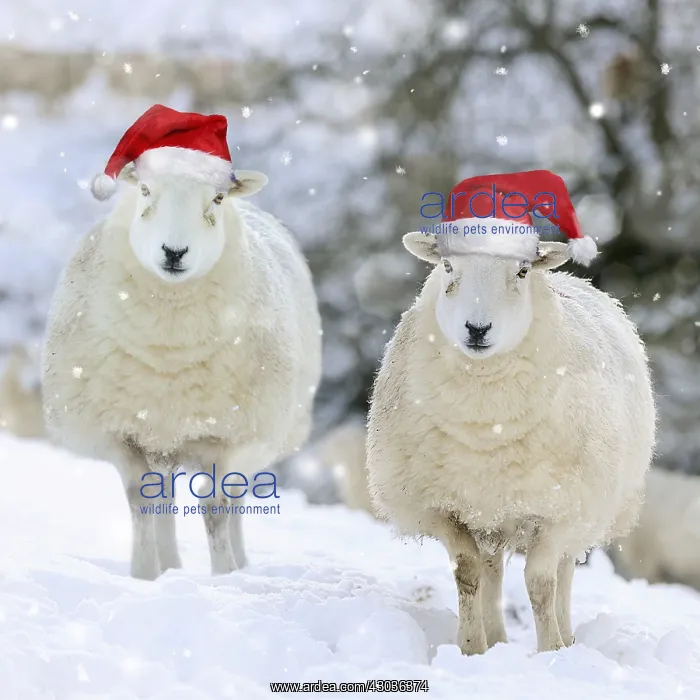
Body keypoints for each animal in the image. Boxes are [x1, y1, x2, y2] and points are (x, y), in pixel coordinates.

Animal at [42, 115, 322, 580]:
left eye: (218, 198)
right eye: (144, 191)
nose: (174, 252)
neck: (168, 345)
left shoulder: (225, 434)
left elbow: (216, 510)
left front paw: (225, 575)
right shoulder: (123, 432)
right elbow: (142, 503)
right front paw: (144, 576)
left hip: (258, 436)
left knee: (235, 502)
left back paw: (239, 565)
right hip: (163, 434)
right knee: (165, 499)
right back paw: (170, 566)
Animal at [366, 230, 656, 654]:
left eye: (522, 271)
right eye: (447, 266)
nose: (477, 328)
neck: (485, 423)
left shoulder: (557, 511)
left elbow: (541, 584)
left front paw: (551, 650)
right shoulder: (442, 506)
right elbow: (467, 572)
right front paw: (471, 647)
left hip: (583, 507)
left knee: (564, 570)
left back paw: (567, 639)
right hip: (492, 507)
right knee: (492, 568)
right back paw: (497, 638)